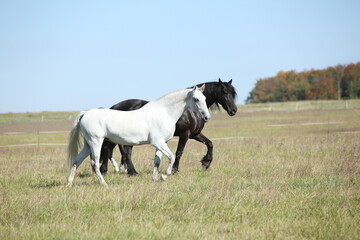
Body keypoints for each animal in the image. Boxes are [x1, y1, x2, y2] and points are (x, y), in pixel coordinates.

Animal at [66, 84, 210, 186]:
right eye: (196, 99)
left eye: (205, 98)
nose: (206, 117)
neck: (163, 112)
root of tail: (85, 113)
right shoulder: (158, 142)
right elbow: (172, 157)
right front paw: (164, 176)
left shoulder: (162, 143)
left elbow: (157, 161)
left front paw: (155, 179)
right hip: (96, 142)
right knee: (95, 163)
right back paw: (104, 184)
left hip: (88, 145)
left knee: (77, 161)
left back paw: (69, 183)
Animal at [100, 79, 238, 175]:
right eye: (225, 92)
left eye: (233, 93)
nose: (233, 110)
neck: (189, 111)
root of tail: (115, 106)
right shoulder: (185, 134)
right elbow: (179, 152)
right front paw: (175, 170)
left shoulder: (195, 134)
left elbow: (210, 144)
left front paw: (206, 163)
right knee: (119, 151)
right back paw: (122, 171)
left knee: (121, 151)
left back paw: (125, 171)